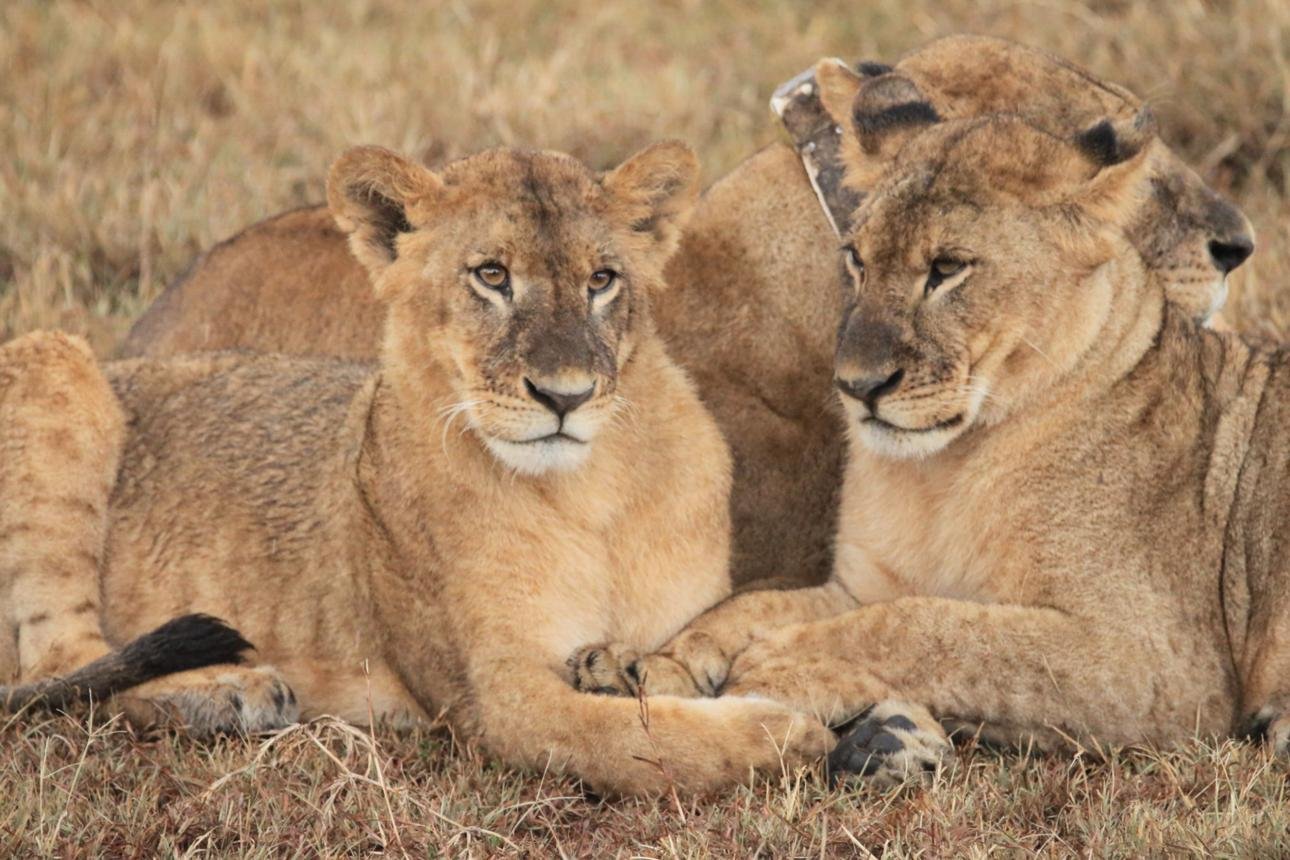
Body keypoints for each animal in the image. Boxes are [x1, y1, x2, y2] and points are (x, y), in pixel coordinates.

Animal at [0, 142, 835, 796]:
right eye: (491, 275)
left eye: (601, 280)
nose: (564, 396)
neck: (589, 493)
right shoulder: (492, 700)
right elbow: (640, 743)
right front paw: (787, 736)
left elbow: (691, 653)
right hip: (52, 353)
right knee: (64, 663)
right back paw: (230, 689)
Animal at [576, 111, 1290, 785]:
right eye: (857, 260)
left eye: (947, 269)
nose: (857, 386)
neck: (944, 468)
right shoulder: (862, 583)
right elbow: (747, 607)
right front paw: (642, 667)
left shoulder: (1159, 662)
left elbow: (936, 631)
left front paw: (775, 668)